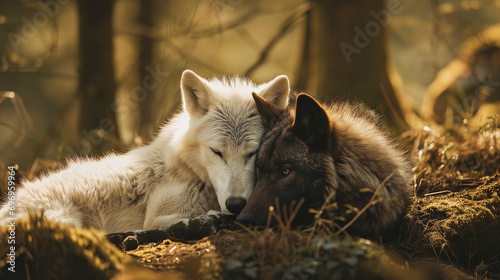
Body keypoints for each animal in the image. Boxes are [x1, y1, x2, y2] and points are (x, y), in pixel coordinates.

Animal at [0, 71, 290, 233]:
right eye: (217, 152)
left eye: (252, 153)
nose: (236, 204)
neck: (191, 173)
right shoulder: (154, 218)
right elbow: (171, 221)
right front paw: (205, 219)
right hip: (65, 218)